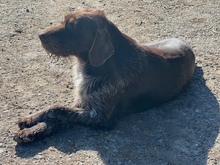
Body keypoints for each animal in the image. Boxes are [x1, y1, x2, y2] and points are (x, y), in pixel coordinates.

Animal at [12, 9, 195, 143]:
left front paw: (32, 124)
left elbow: (58, 109)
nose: (40, 35)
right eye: (64, 20)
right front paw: (33, 124)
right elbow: (57, 115)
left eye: (73, 26)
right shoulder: (83, 102)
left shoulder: (100, 117)